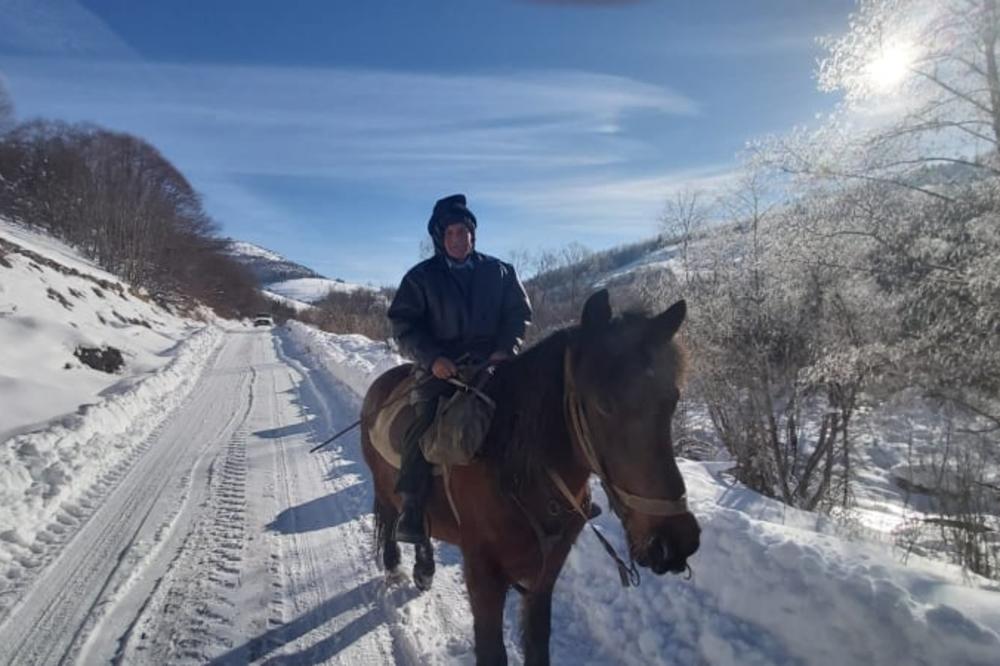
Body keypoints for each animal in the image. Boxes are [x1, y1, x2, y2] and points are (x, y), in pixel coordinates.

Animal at [362, 290, 704, 664]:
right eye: (603, 404)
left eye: (672, 400)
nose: (674, 541)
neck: (517, 474)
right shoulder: (483, 575)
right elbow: (492, 651)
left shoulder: (545, 574)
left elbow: (538, 643)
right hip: (385, 489)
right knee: (392, 519)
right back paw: (395, 566)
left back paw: (424, 570)